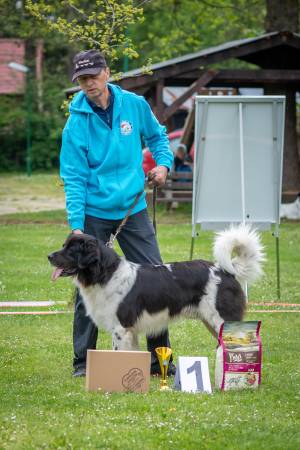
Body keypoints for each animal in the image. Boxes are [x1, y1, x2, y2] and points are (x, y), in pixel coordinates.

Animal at [48, 227, 264, 350]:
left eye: (71, 249)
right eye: (64, 245)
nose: (49, 256)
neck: (105, 274)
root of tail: (225, 270)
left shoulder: (121, 328)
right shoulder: (131, 331)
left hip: (222, 319)